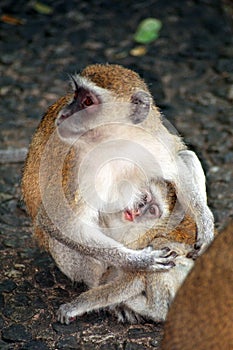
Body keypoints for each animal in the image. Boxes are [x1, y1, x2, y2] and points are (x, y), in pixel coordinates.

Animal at [21, 63, 213, 322]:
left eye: (88, 101)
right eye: (76, 95)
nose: (64, 113)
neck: (115, 141)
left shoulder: (150, 140)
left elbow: (177, 169)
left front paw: (205, 225)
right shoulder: (76, 164)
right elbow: (56, 220)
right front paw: (141, 261)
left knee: (186, 156)